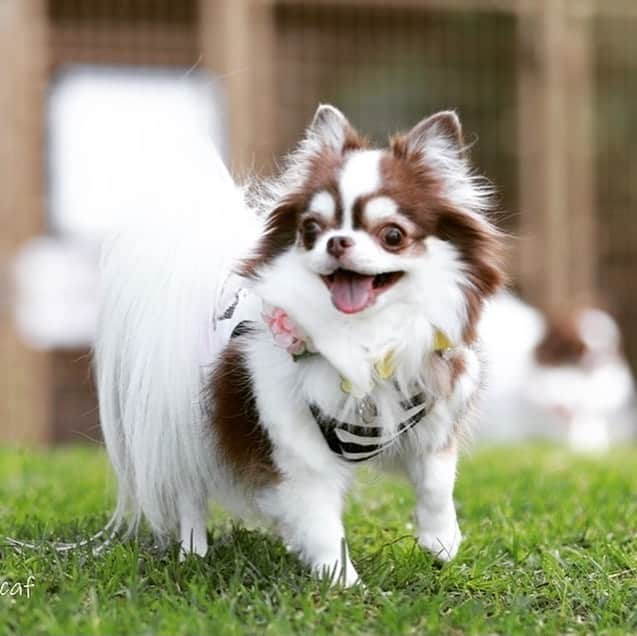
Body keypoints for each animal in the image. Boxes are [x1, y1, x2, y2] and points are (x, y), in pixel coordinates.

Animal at [95, 105, 502, 588]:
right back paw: (193, 553)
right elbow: (321, 519)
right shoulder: (297, 447)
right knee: (189, 493)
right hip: (184, 423)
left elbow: (438, 481)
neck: (364, 340)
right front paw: (342, 581)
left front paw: (442, 541)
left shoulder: (433, 411)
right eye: (311, 230)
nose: (337, 241)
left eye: (393, 235)